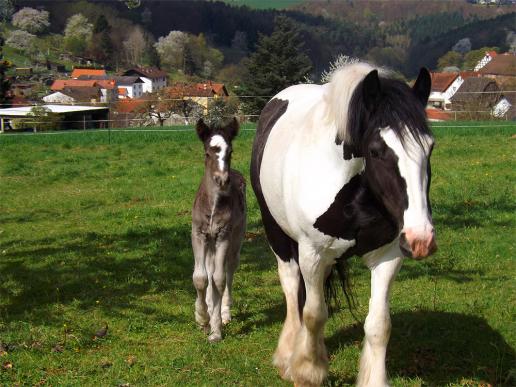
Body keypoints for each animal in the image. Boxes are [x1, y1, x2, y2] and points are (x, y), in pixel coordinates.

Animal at [252, 63, 438, 384]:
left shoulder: (387, 256)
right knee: (291, 287)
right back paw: (288, 354)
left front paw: (374, 379)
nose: (421, 239)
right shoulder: (312, 254)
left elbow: (379, 324)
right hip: (277, 235)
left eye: (430, 147)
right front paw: (308, 371)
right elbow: (314, 314)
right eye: (376, 150)